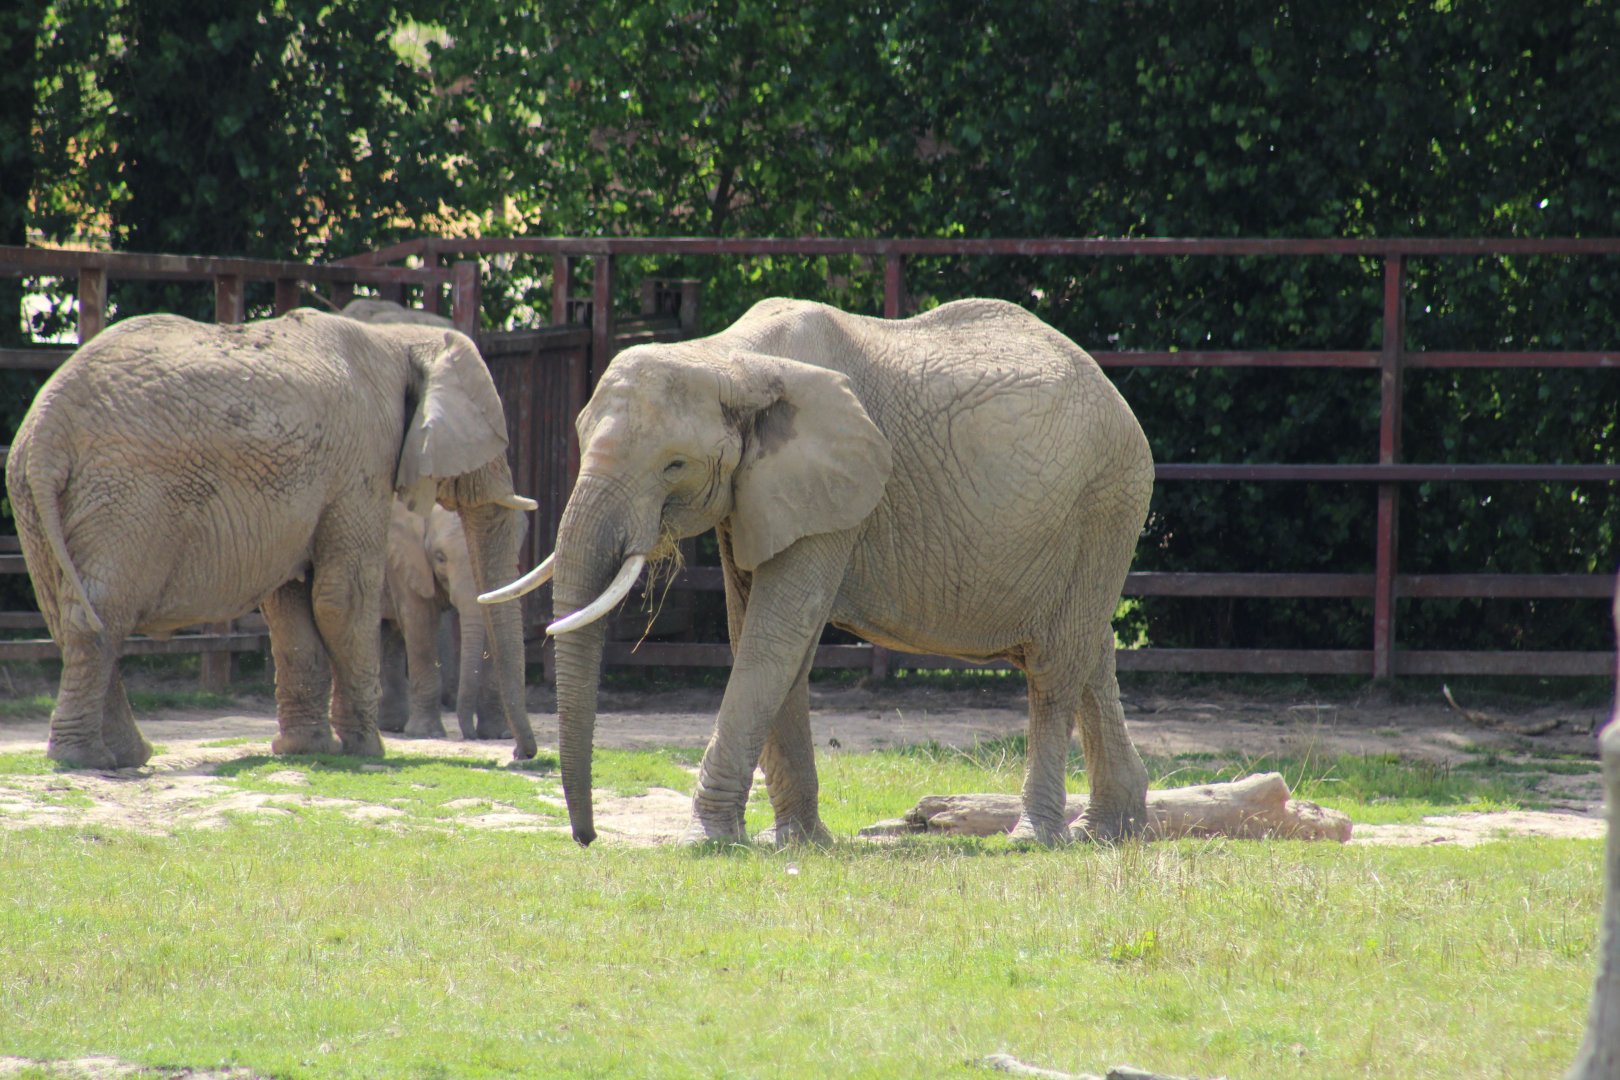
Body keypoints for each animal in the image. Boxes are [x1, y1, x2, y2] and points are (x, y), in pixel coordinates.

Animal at [379, 499, 514, 741]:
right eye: (440, 557)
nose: (471, 736)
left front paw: (497, 735)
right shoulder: (406, 558)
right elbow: (420, 623)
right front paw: (425, 733)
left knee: (389, 635)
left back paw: (391, 725)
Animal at [482, 297, 1154, 847]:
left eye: (674, 465)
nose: (587, 839)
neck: (729, 358)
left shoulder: (839, 489)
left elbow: (773, 637)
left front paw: (706, 841)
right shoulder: (756, 490)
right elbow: (766, 638)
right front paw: (796, 843)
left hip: (1107, 498)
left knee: (1054, 666)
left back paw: (1034, 838)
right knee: (1092, 649)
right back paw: (1108, 832)